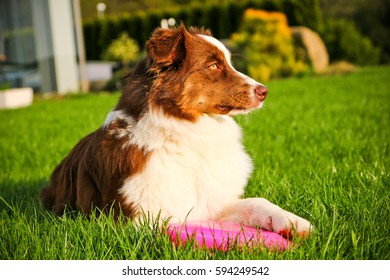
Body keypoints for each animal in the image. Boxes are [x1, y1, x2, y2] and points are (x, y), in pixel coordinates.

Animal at [40, 24, 314, 238]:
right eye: (213, 66)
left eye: (228, 62)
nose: (264, 91)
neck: (188, 135)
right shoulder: (140, 218)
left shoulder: (211, 202)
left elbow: (258, 203)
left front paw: (292, 222)